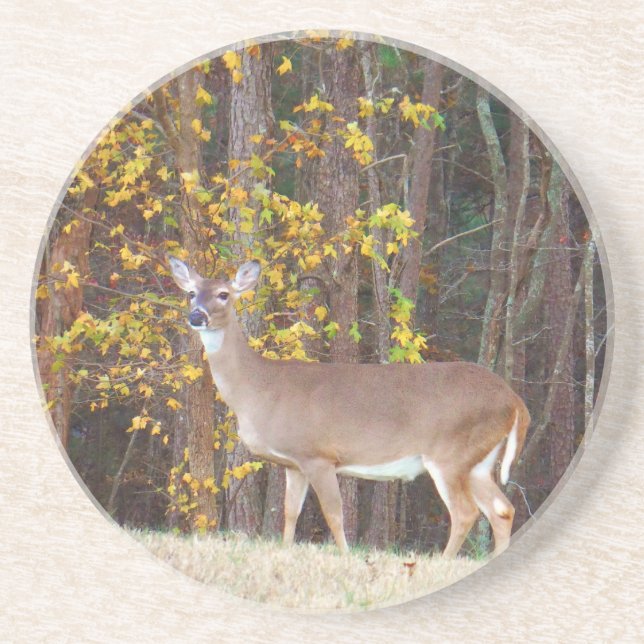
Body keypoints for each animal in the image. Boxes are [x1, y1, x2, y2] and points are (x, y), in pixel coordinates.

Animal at [169, 257, 530, 557]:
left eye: (223, 294)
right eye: (191, 293)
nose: (196, 316)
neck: (259, 389)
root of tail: (514, 401)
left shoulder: (319, 455)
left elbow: (334, 513)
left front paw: (343, 556)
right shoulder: (294, 463)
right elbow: (290, 512)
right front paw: (286, 551)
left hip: (450, 453)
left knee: (466, 512)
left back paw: (443, 563)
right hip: (479, 461)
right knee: (502, 509)